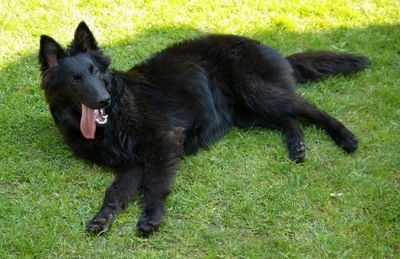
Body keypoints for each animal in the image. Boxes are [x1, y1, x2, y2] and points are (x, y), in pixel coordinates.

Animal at [38, 22, 368, 237]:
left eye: (95, 71)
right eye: (75, 80)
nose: (103, 100)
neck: (119, 110)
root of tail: (277, 54)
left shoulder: (162, 143)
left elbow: (155, 184)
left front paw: (152, 216)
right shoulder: (132, 162)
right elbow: (115, 192)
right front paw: (103, 217)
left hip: (256, 91)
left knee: (308, 109)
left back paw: (345, 136)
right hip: (247, 112)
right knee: (289, 119)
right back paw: (297, 146)